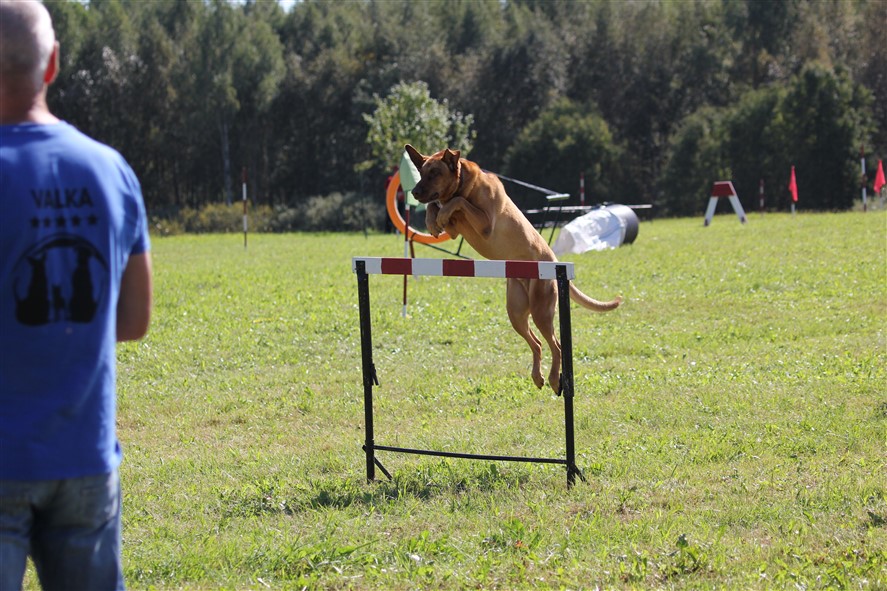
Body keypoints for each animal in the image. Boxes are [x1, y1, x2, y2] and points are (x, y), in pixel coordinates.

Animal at [405, 144, 621, 392]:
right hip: (516, 311)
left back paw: (554, 379)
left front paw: (440, 212)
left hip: (541, 308)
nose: (415, 193)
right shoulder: (454, 230)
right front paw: (432, 221)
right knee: (537, 343)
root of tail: (553, 260)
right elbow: (438, 206)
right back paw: (538, 377)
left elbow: (457, 202)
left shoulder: (485, 223)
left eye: (435, 173)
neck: (464, 185)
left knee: (556, 345)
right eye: (421, 172)